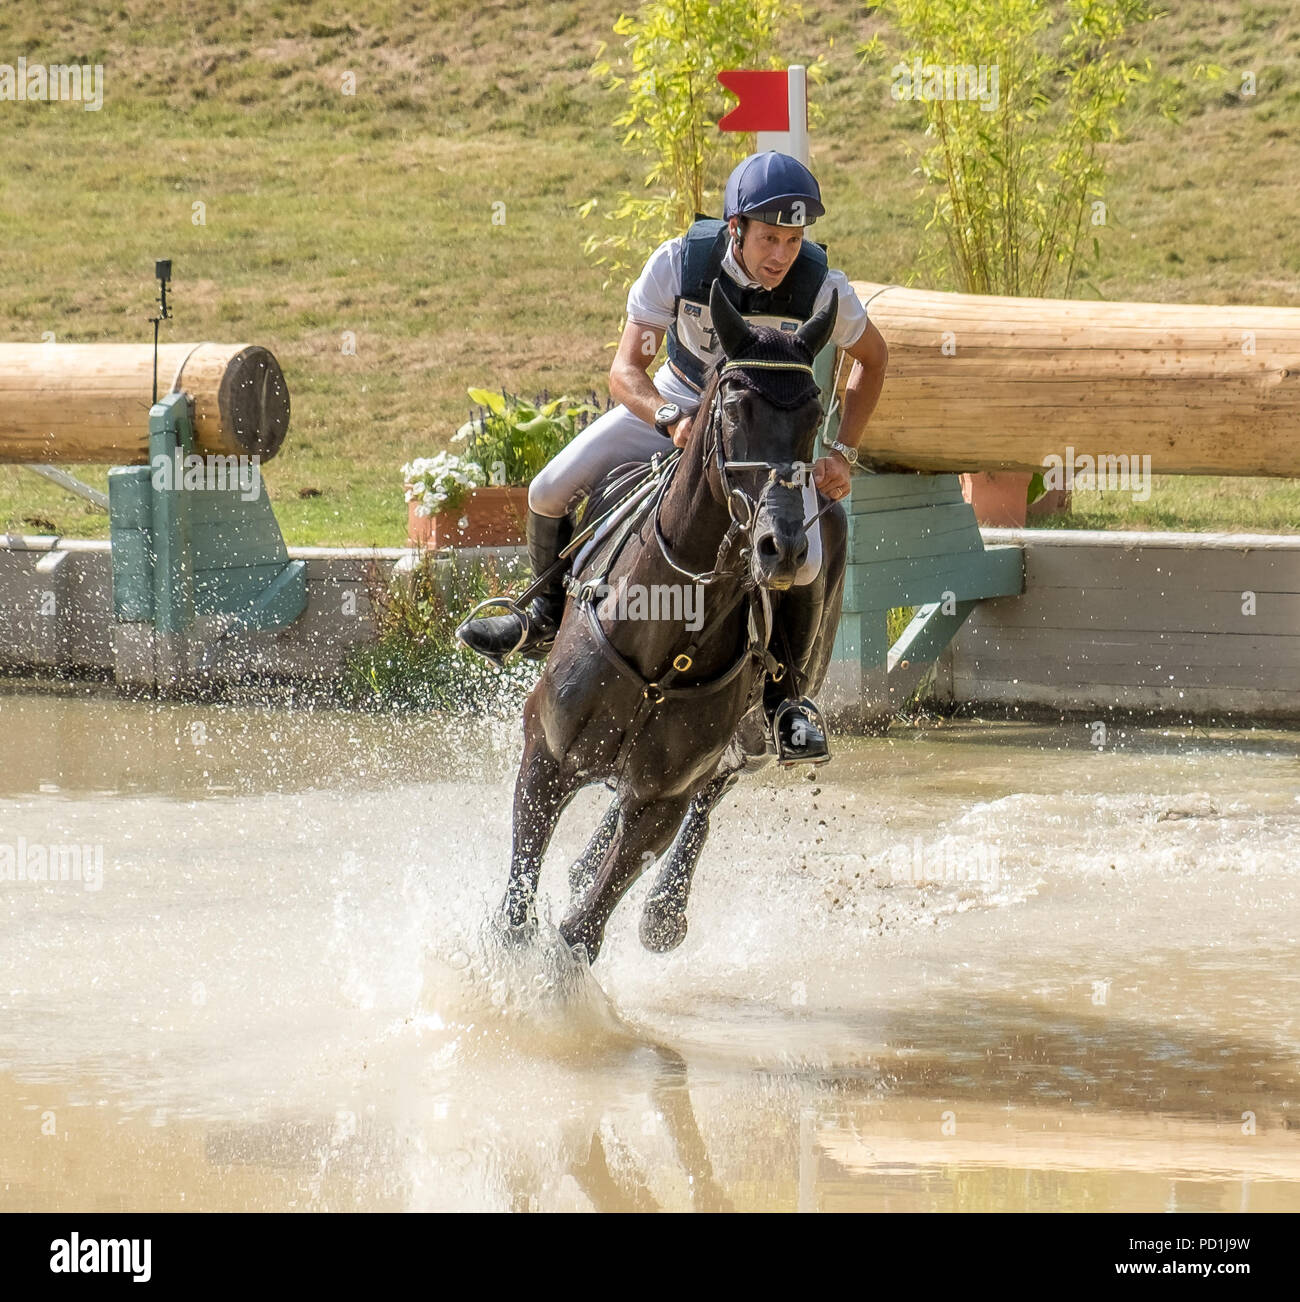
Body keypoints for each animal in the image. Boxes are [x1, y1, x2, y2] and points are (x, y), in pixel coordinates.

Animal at [502, 282, 849, 958]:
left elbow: (583, 929)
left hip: (757, 731)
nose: (785, 548)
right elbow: (517, 907)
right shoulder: (546, 753)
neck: (665, 634)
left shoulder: (663, 797)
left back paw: (665, 911)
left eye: (815, 414)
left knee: (711, 797)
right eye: (734, 409)